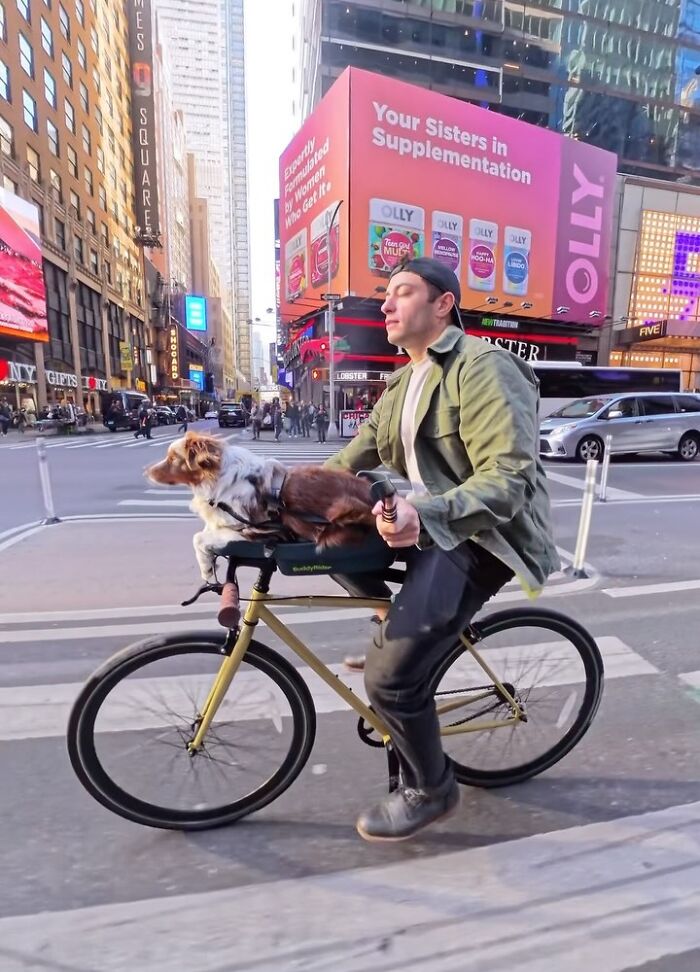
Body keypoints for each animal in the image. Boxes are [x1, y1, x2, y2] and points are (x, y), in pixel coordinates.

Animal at [145, 430, 378, 580]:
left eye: (173, 458)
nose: (145, 472)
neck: (220, 479)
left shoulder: (253, 530)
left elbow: (199, 537)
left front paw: (206, 568)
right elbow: (203, 534)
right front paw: (208, 563)